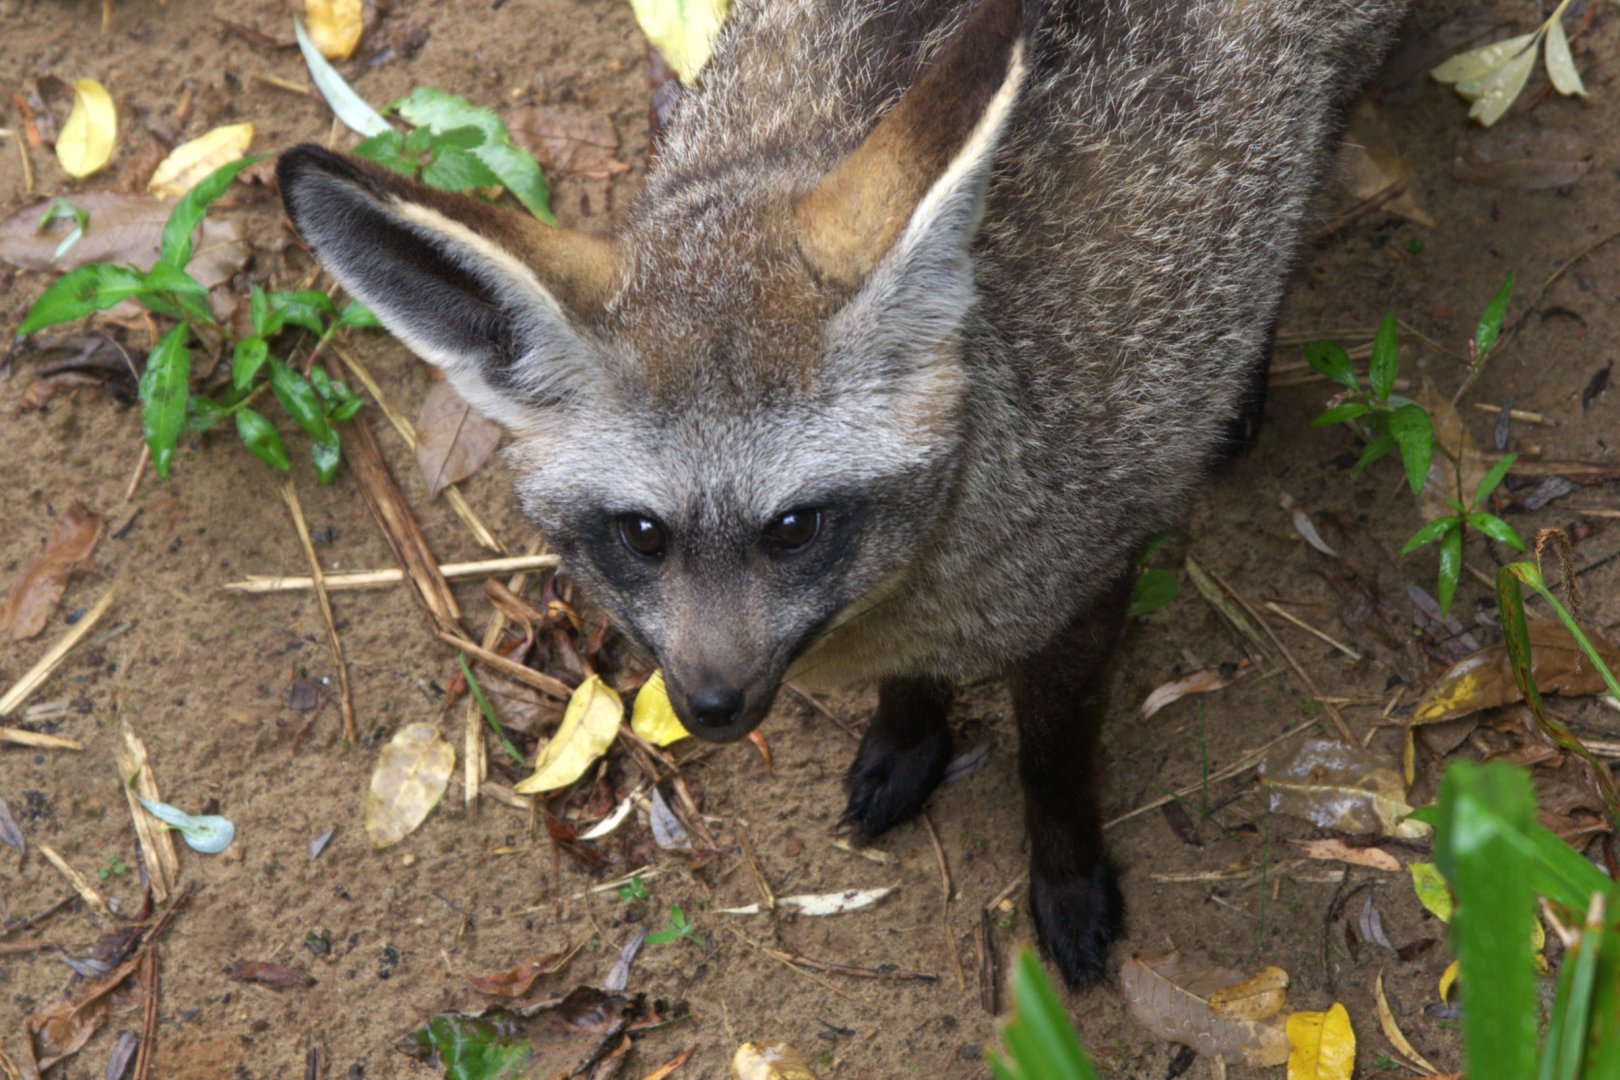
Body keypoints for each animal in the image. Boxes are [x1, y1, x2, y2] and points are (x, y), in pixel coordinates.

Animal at [278, 0, 1408, 986]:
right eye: (642, 534)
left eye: (794, 528)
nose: (711, 705)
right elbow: (910, 689)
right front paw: (907, 742)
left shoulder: (1090, 579)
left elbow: (1053, 762)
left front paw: (1068, 877)